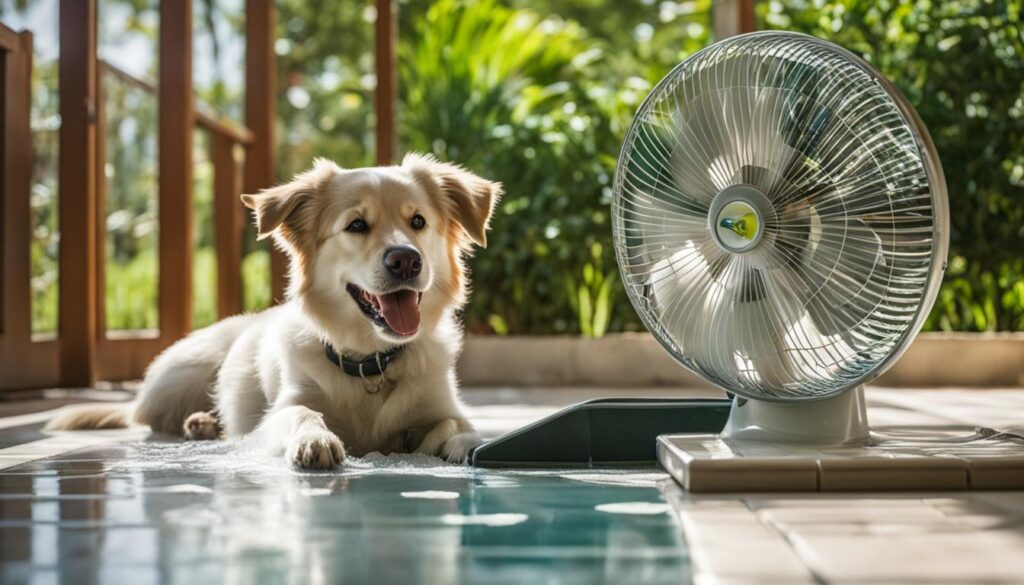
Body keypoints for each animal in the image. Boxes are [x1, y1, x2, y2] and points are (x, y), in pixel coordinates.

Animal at [46, 153, 501, 469]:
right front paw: (316, 439)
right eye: (356, 225)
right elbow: (300, 412)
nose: (406, 260)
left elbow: (456, 424)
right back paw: (200, 423)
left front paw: (466, 443)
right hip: (180, 375)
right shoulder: (282, 408)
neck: (370, 363)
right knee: (150, 417)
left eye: (418, 222)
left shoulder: (441, 406)